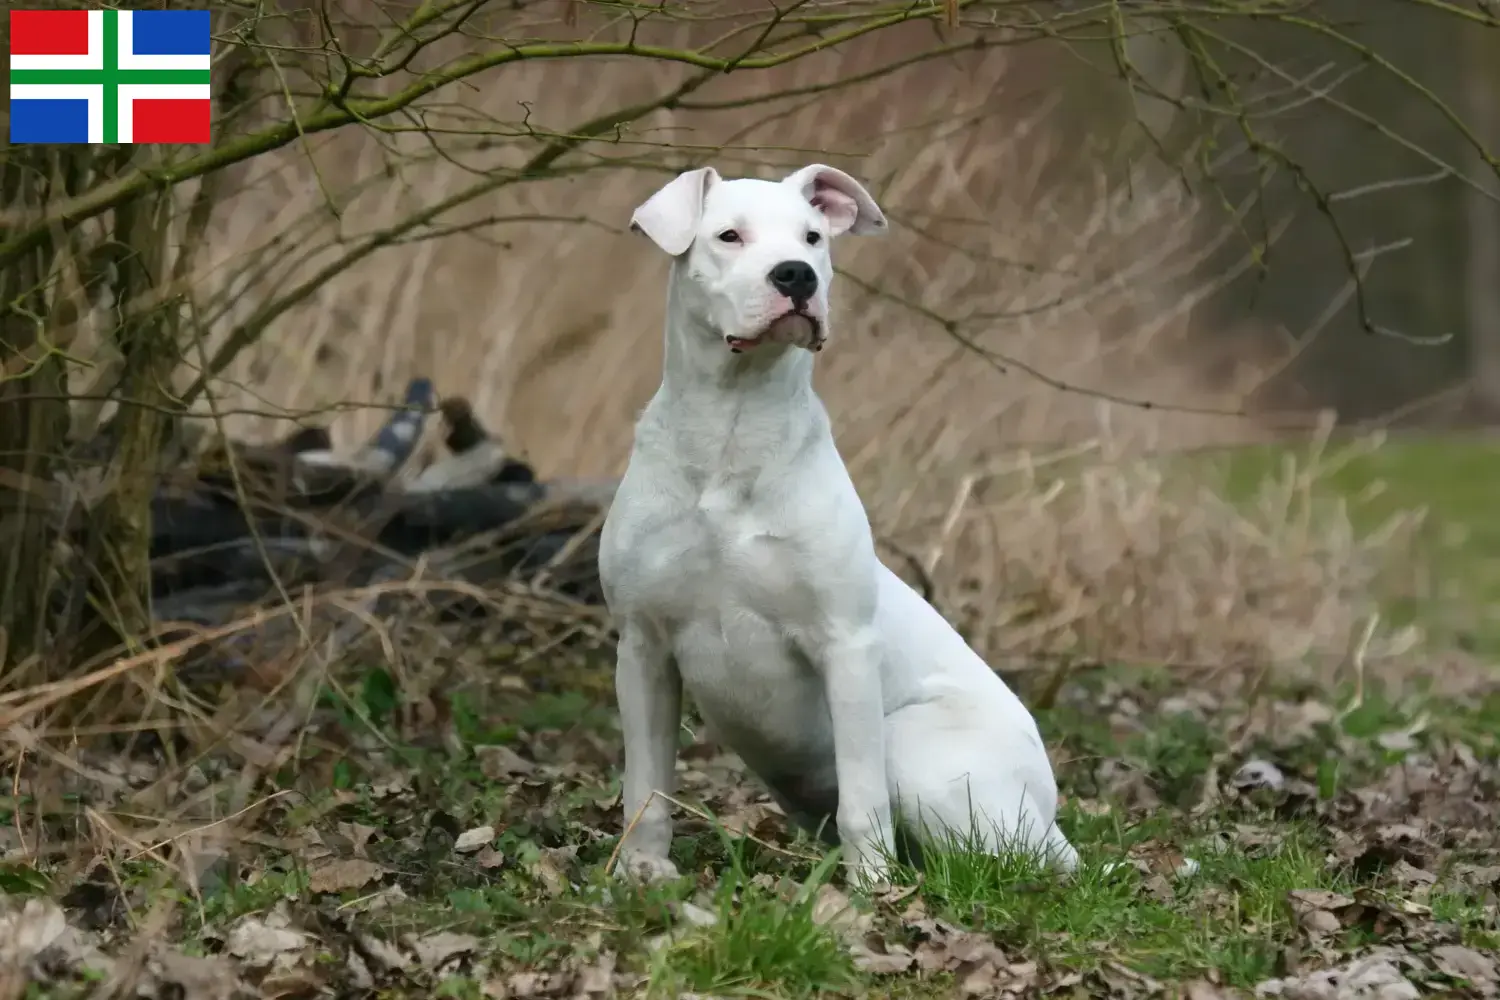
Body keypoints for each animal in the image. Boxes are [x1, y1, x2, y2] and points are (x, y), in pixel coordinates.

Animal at [597, 162, 1080, 881]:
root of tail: (1048, 811)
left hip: (916, 749)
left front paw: (871, 886)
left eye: (814, 237)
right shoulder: (644, 648)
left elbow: (862, 798)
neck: (732, 428)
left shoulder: (844, 645)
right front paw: (643, 871)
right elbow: (646, 784)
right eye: (729, 236)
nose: (797, 276)